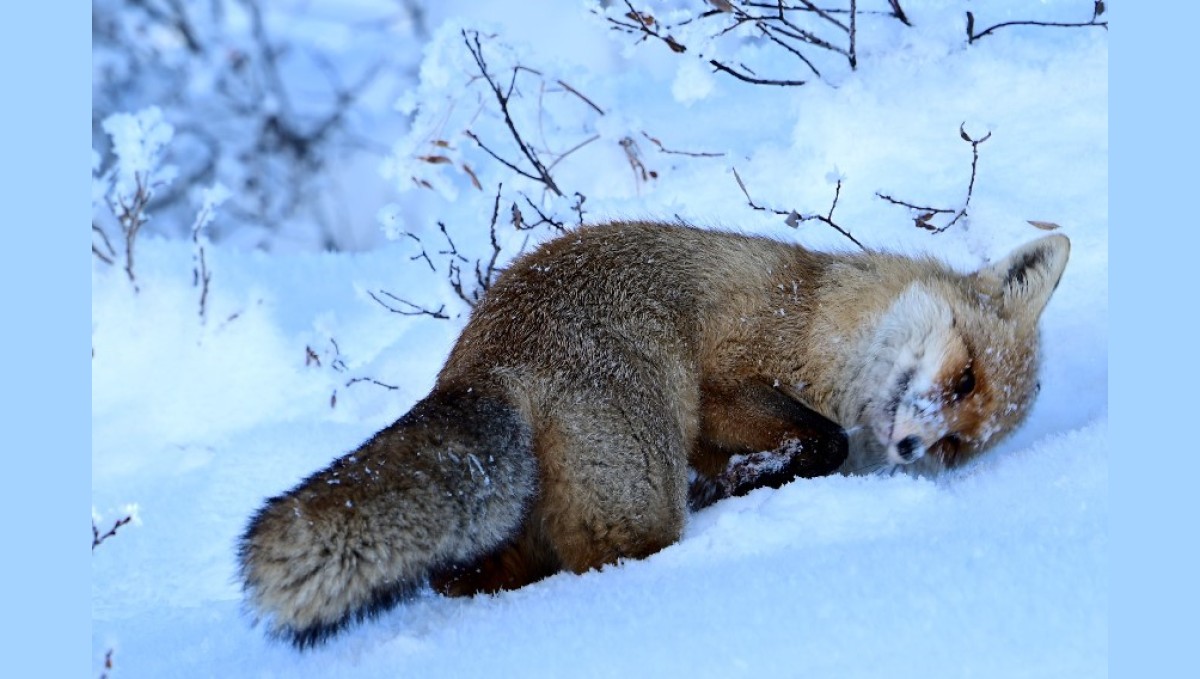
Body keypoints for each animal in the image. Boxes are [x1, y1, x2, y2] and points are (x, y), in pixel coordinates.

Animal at [234, 221, 1070, 647]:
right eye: (964, 380)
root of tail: (489, 360)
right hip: (642, 492)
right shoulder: (728, 373)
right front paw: (756, 475)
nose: (913, 448)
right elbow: (820, 438)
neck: (825, 323)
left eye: (960, 443)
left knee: (472, 573)